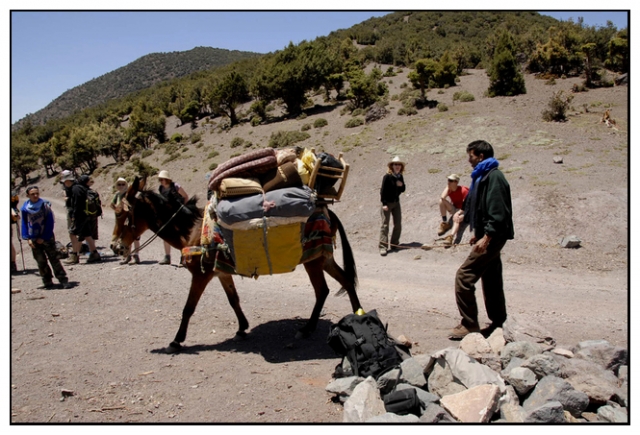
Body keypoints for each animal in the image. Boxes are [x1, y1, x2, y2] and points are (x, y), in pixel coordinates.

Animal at [109, 177, 360, 354]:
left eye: (122, 213)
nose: (115, 247)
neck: (192, 232)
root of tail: (327, 210)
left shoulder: (200, 276)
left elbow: (188, 308)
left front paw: (176, 341)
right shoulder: (222, 273)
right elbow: (233, 300)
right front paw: (241, 328)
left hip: (313, 260)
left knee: (322, 290)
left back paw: (307, 329)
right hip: (323, 258)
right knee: (345, 282)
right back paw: (357, 316)